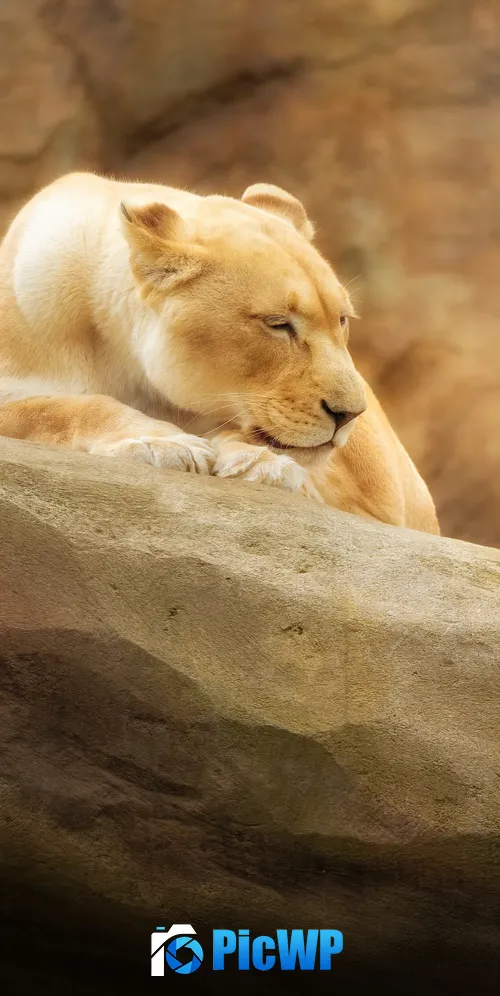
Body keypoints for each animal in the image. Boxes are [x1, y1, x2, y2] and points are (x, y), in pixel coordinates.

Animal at [0, 172, 438, 534]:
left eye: (342, 320)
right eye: (278, 323)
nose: (349, 414)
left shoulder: (383, 497)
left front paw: (258, 463)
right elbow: (57, 408)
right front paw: (161, 443)